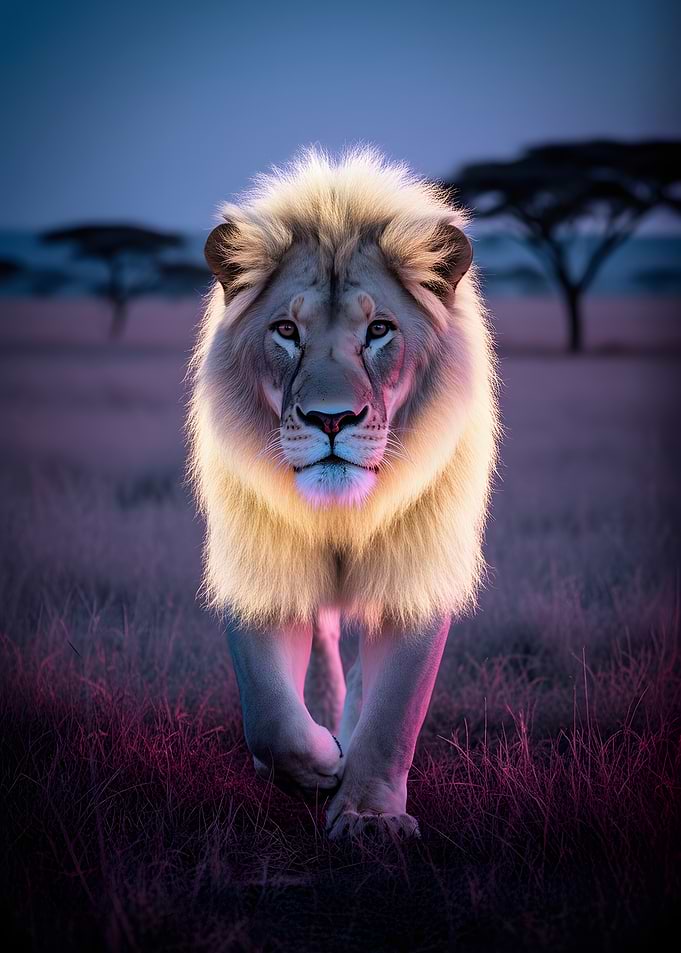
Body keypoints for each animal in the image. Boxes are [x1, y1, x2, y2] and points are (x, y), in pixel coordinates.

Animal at [187, 145, 499, 840]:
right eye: (286, 331)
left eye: (379, 330)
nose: (332, 420)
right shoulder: (257, 561)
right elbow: (269, 713)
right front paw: (317, 767)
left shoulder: (418, 567)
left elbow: (395, 713)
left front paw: (368, 816)